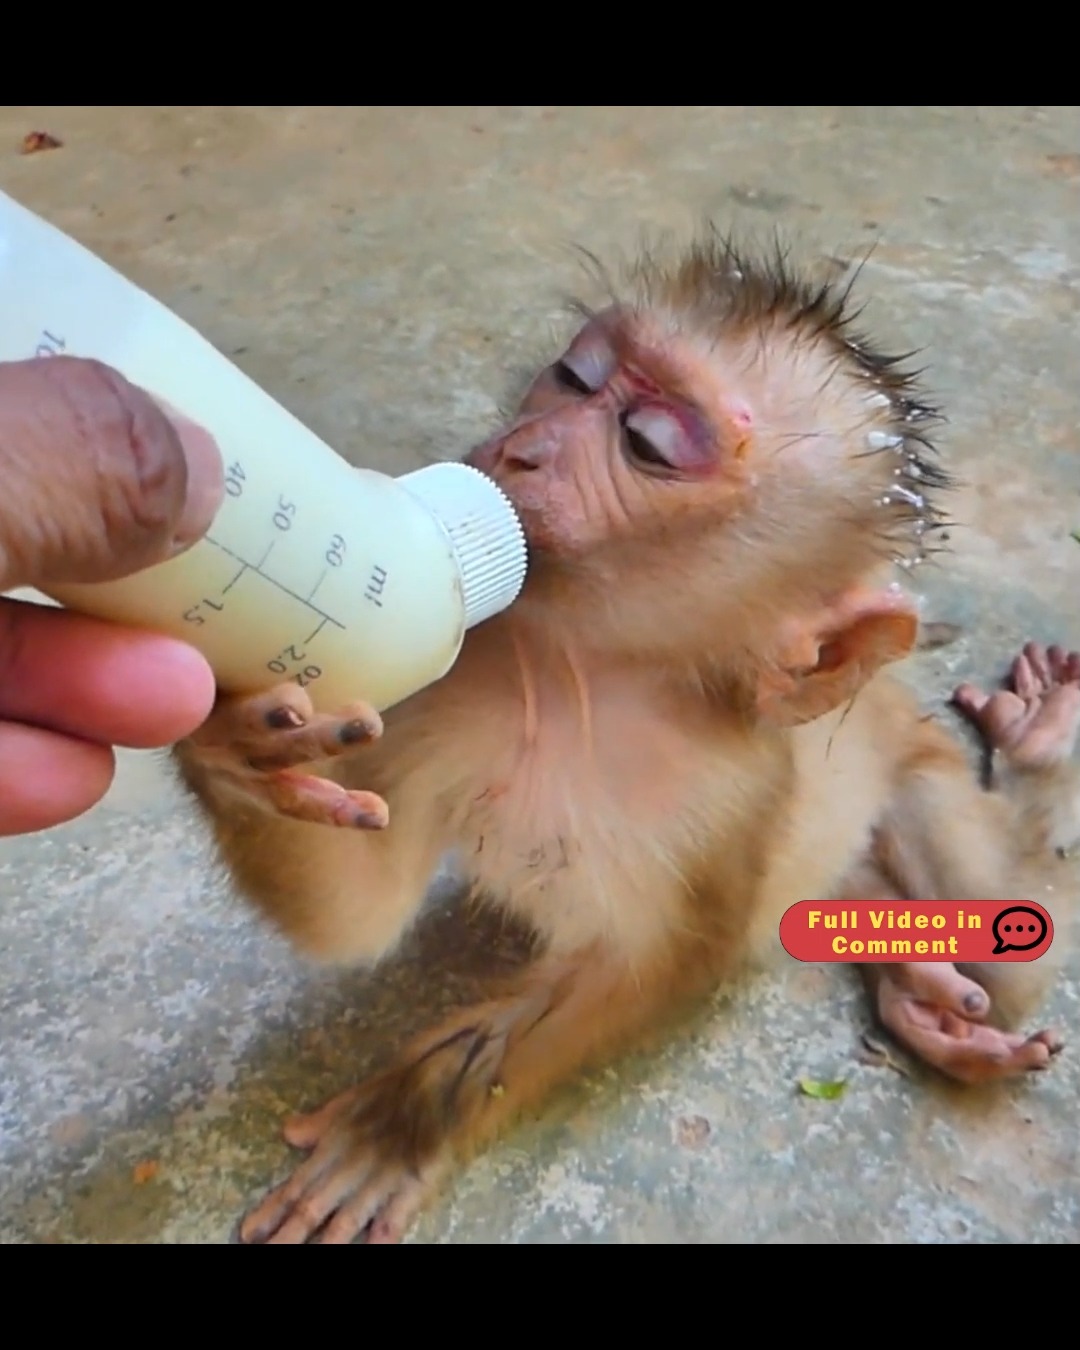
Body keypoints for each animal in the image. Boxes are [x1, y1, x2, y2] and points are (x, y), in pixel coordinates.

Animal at [173, 234, 1080, 1245]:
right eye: (574, 378)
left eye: (648, 444)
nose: (521, 451)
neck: (586, 682)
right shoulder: (445, 676)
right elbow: (356, 917)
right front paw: (234, 742)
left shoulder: (730, 795)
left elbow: (659, 966)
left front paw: (406, 1121)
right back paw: (914, 980)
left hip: (920, 772)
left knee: (1009, 950)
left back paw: (1036, 752)